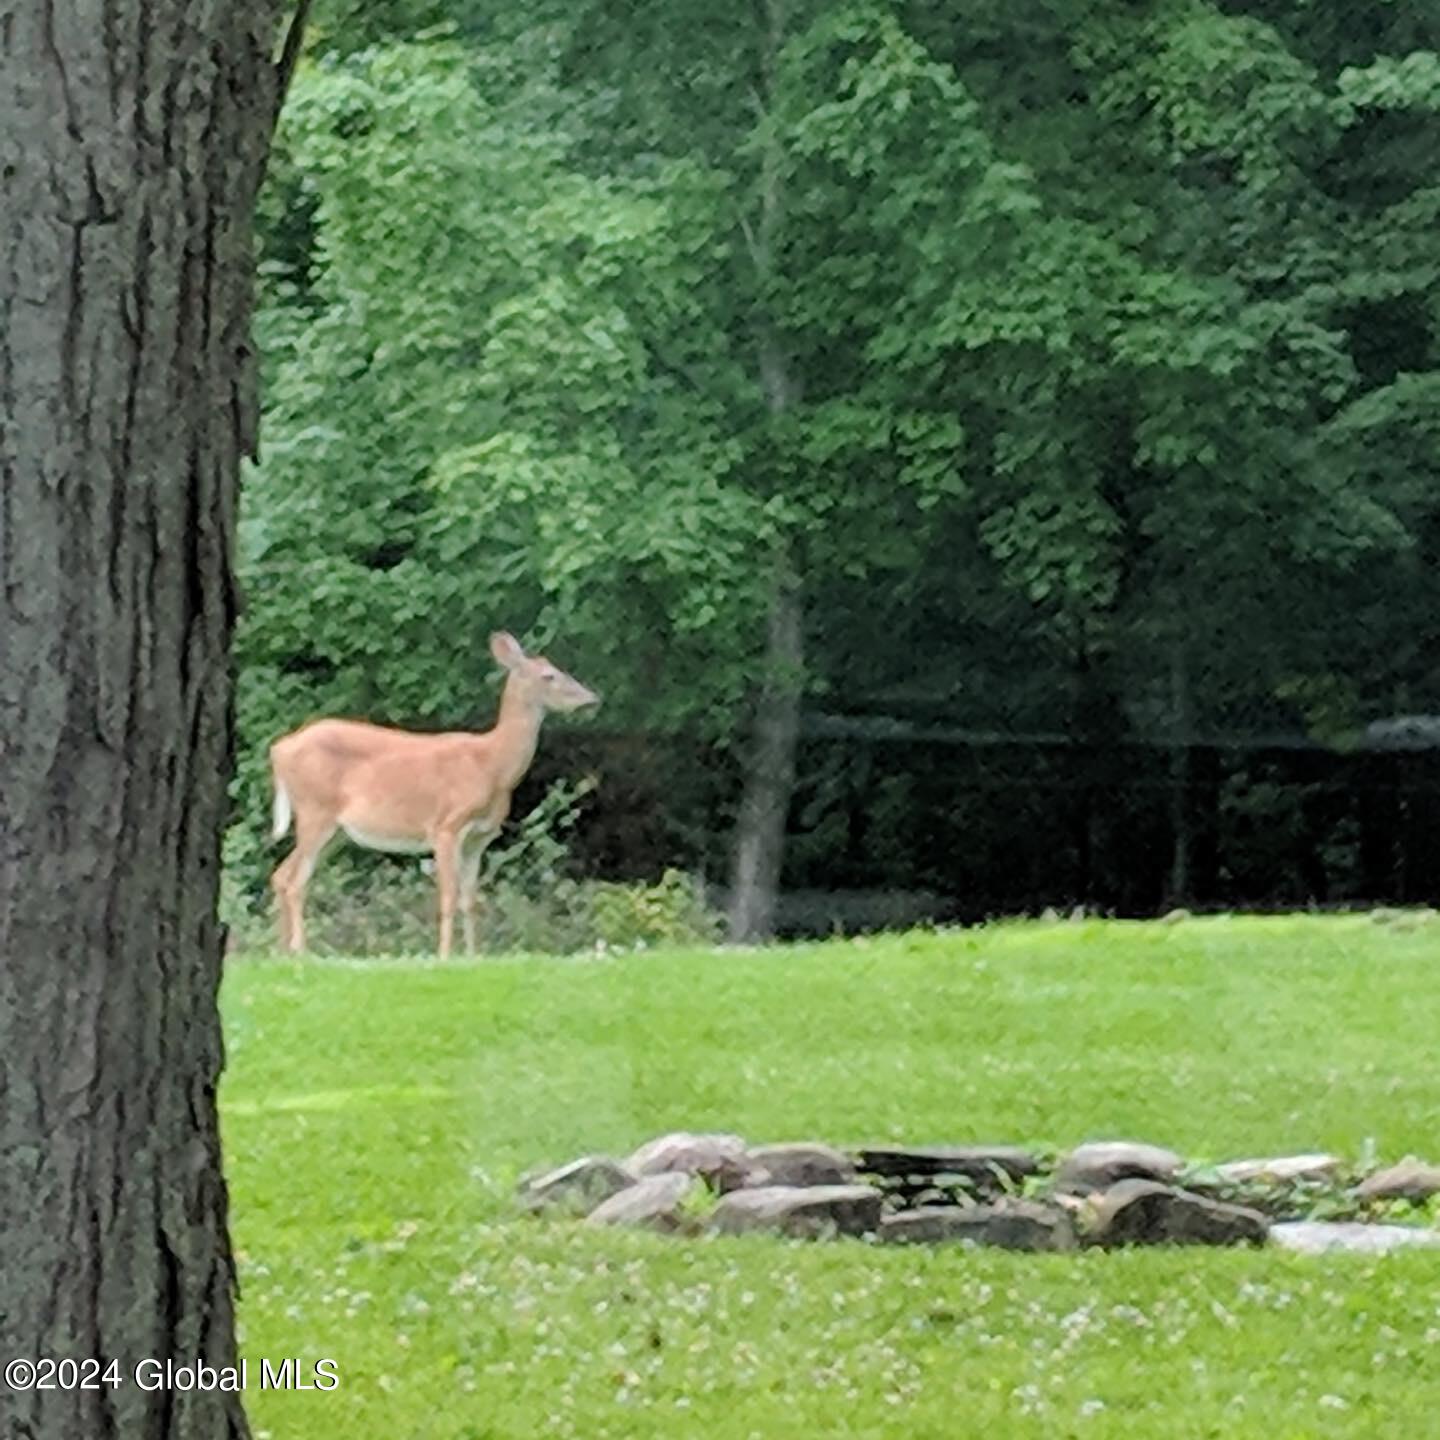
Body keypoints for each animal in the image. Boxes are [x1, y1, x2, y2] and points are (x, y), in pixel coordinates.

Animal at [267, 630, 599, 956]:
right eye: (548, 676)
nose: (592, 699)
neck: (491, 765)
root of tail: (279, 750)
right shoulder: (446, 826)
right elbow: (448, 896)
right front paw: (444, 956)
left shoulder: (480, 838)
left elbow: (470, 900)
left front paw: (472, 956)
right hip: (315, 810)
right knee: (295, 881)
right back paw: (301, 952)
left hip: (336, 830)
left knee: (281, 875)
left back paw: (283, 952)